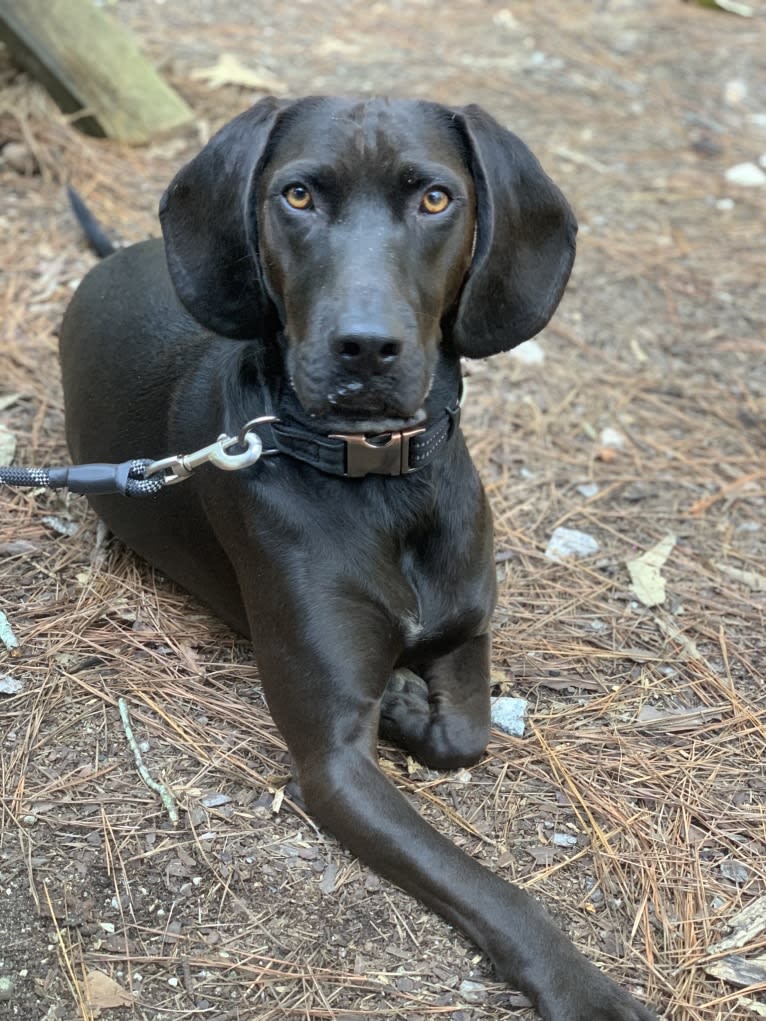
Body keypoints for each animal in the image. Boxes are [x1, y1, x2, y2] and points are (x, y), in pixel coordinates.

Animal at [60, 97, 657, 1021]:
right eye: (298, 194)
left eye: (436, 198)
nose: (365, 349)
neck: (381, 479)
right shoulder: (334, 762)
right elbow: (492, 888)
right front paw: (585, 989)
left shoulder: (467, 622)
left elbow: (470, 732)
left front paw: (413, 705)